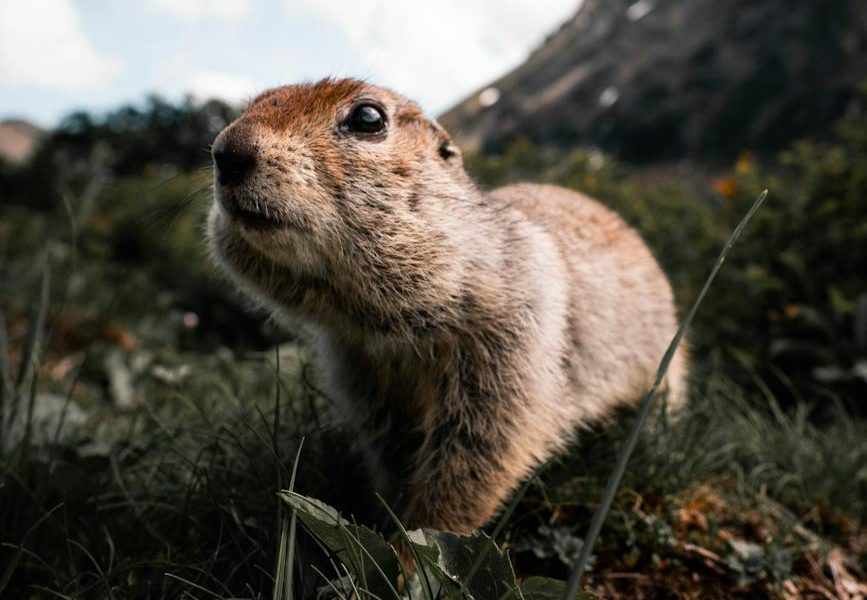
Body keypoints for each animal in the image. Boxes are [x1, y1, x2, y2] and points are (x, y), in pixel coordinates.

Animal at [207, 77, 688, 532]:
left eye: (367, 117)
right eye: (254, 102)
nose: (226, 152)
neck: (384, 323)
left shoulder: (507, 343)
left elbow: (481, 448)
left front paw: (411, 549)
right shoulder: (360, 369)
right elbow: (392, 450)